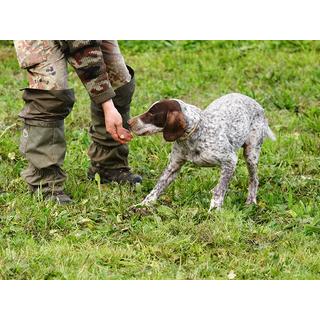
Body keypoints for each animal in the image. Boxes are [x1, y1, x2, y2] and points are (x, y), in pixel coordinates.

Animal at [127, 92, 276, 210]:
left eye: (152, 113)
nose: (128, 122)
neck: (194, 134)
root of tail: (256, 103)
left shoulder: (230, 161)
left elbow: (220, 190)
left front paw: (214, 209)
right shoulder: (173, 166)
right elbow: (158, 187)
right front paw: (144, 204)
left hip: (251, 154)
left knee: (253, 180)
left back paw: (251, 201)